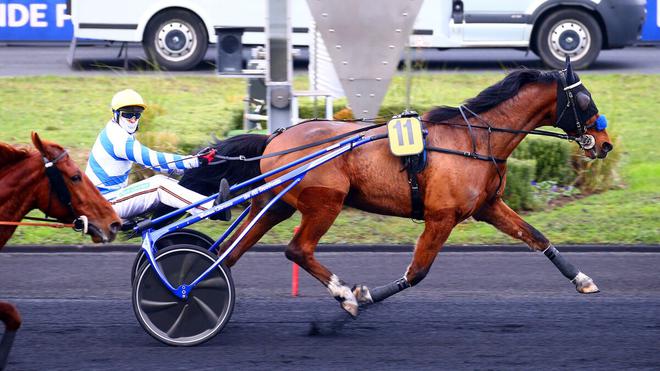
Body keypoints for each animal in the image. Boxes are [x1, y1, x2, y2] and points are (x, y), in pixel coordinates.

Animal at [182, 60, 612, 316]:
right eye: (583, 98)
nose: (605, 143)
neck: (474, 139)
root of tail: (276, 137)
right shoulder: (441, 216)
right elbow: (418, 271)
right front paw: (364, 295)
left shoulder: (488, 206)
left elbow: (537, 237)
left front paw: (582, 279)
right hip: (325, 203)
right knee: (296, 249)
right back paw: (344, 295)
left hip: (276, 203)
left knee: (231, 249)